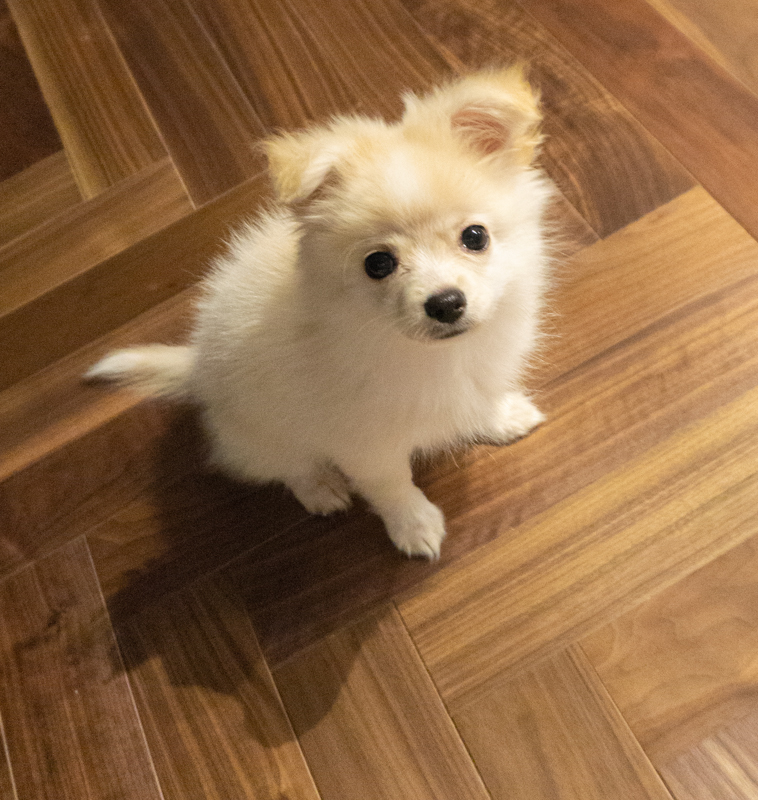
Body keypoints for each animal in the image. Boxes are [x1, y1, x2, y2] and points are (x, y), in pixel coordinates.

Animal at [86, 67, 552, 559]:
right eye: (378, 264)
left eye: (475, 236)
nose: (445, 302)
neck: (435, 355)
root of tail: (197, 368)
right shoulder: (363, 442)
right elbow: (391, 485)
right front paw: (414, 526)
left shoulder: (473, 381)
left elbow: (476, 403)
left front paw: (499, 418)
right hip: (265, 431)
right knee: (284, 464)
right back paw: (320, 488)